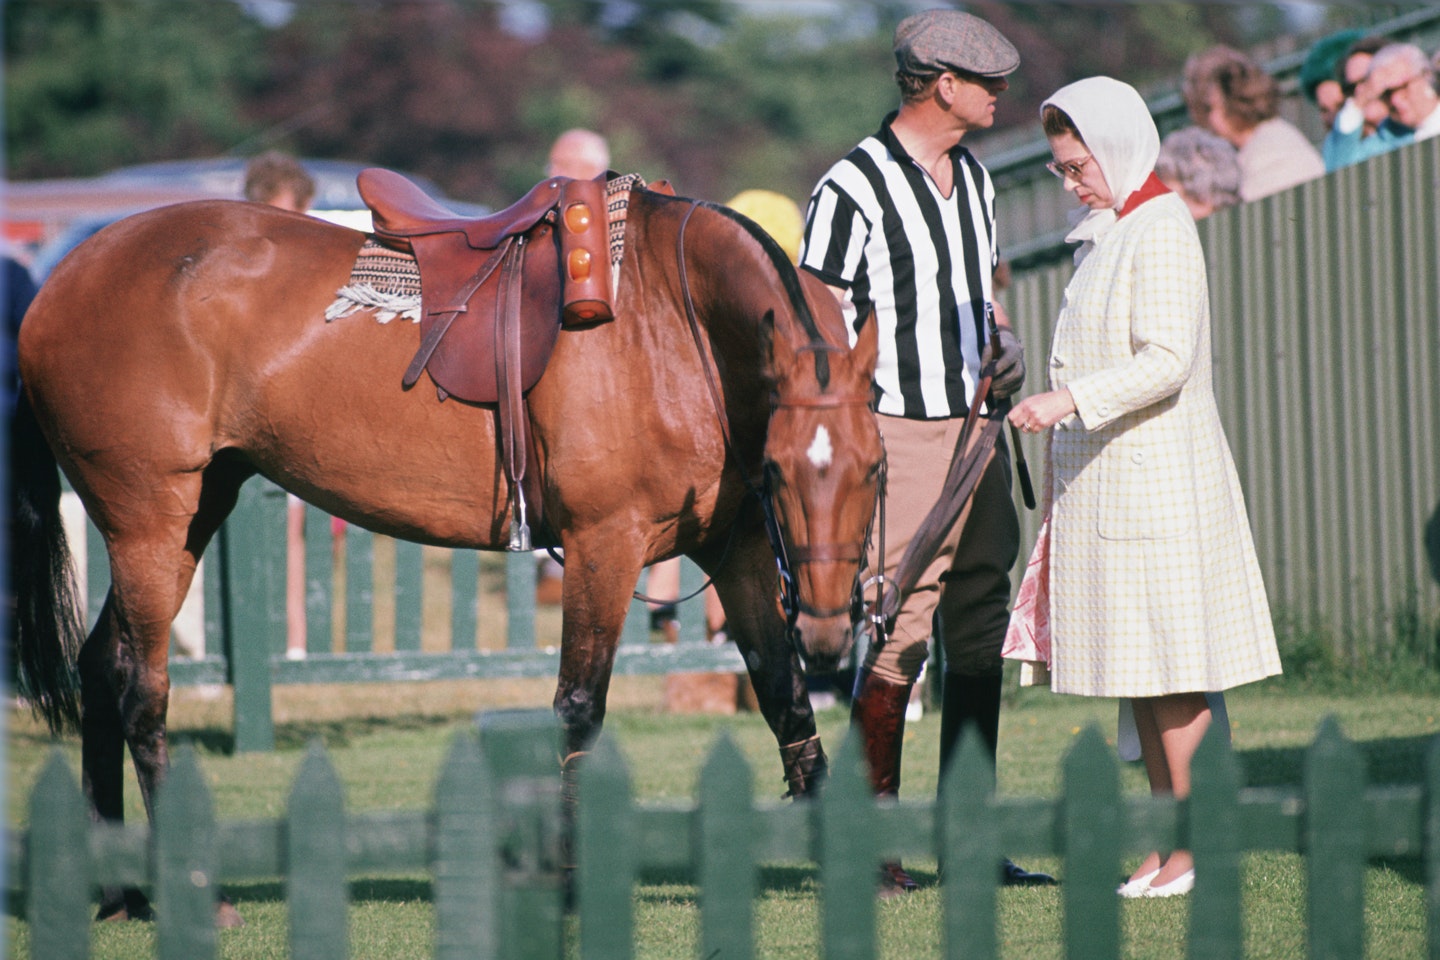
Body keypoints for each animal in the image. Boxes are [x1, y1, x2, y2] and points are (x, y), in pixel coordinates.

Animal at [11, 184, 881, 921]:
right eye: (782, 470)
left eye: (873, 468)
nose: (831, 629)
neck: (670, 318)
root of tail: (57, 287)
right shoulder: (605, 543)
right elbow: (579, 708)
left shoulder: (736, 551)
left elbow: (783, 693)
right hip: (148, 524)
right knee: (141, 688)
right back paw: (186, 886)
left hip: (191, 513)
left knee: (102, 667)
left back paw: (120, 888)